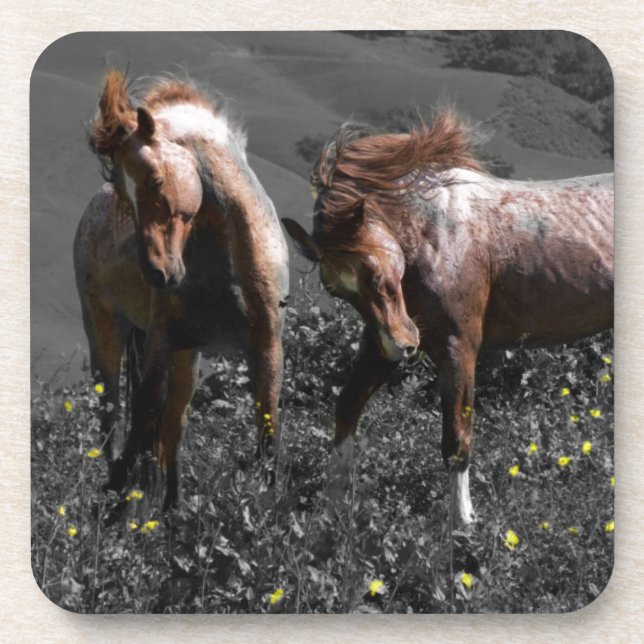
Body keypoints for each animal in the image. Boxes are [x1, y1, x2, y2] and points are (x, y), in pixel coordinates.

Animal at [74, 69, 289, 511]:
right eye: (123, 193)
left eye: (156, 180)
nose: (158, 274)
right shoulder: (160, 339)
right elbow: (143, 413)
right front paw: (117, 500)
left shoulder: (267, 347)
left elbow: (267, 430)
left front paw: (269, 511)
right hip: (107, 333)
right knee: (112, 417)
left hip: (187, 355)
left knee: (174, 423)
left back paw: (172, 508)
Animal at [283, 112, 613, 525]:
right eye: (335, 290)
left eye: (373, 271)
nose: (405, 346)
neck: (435, 235)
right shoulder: (378, 345)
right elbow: (346, 409)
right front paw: (328, 511)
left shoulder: (459, 348)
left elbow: (457, 439)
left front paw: (463, 523)